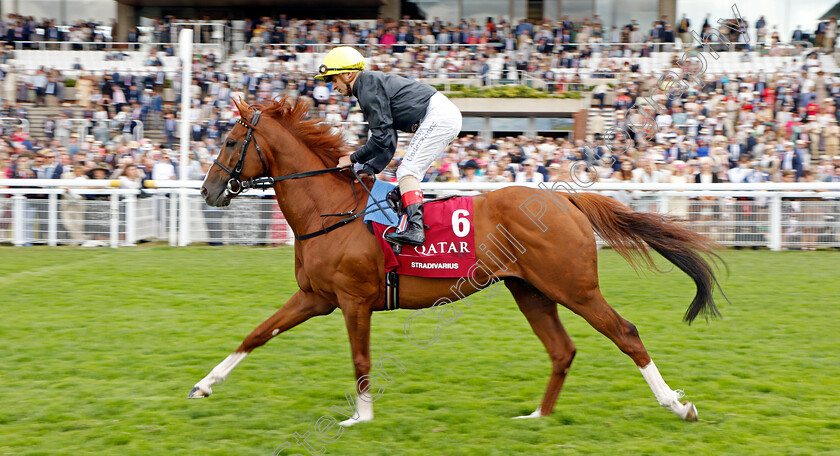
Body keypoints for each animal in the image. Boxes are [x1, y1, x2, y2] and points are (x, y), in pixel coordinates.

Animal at [190, 98, 720, 426]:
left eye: (232, 142)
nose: (208, 192)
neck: (330, 210)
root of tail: (565, 200)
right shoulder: (315, 297)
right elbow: (257, 334)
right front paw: (203, 386)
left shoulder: (353, 300)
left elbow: (360, 359)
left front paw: (361, 417)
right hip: (532, 291)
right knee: (562, 350)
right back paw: (537, 418)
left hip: (574, 287)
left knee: (624, 333)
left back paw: (677, 406)